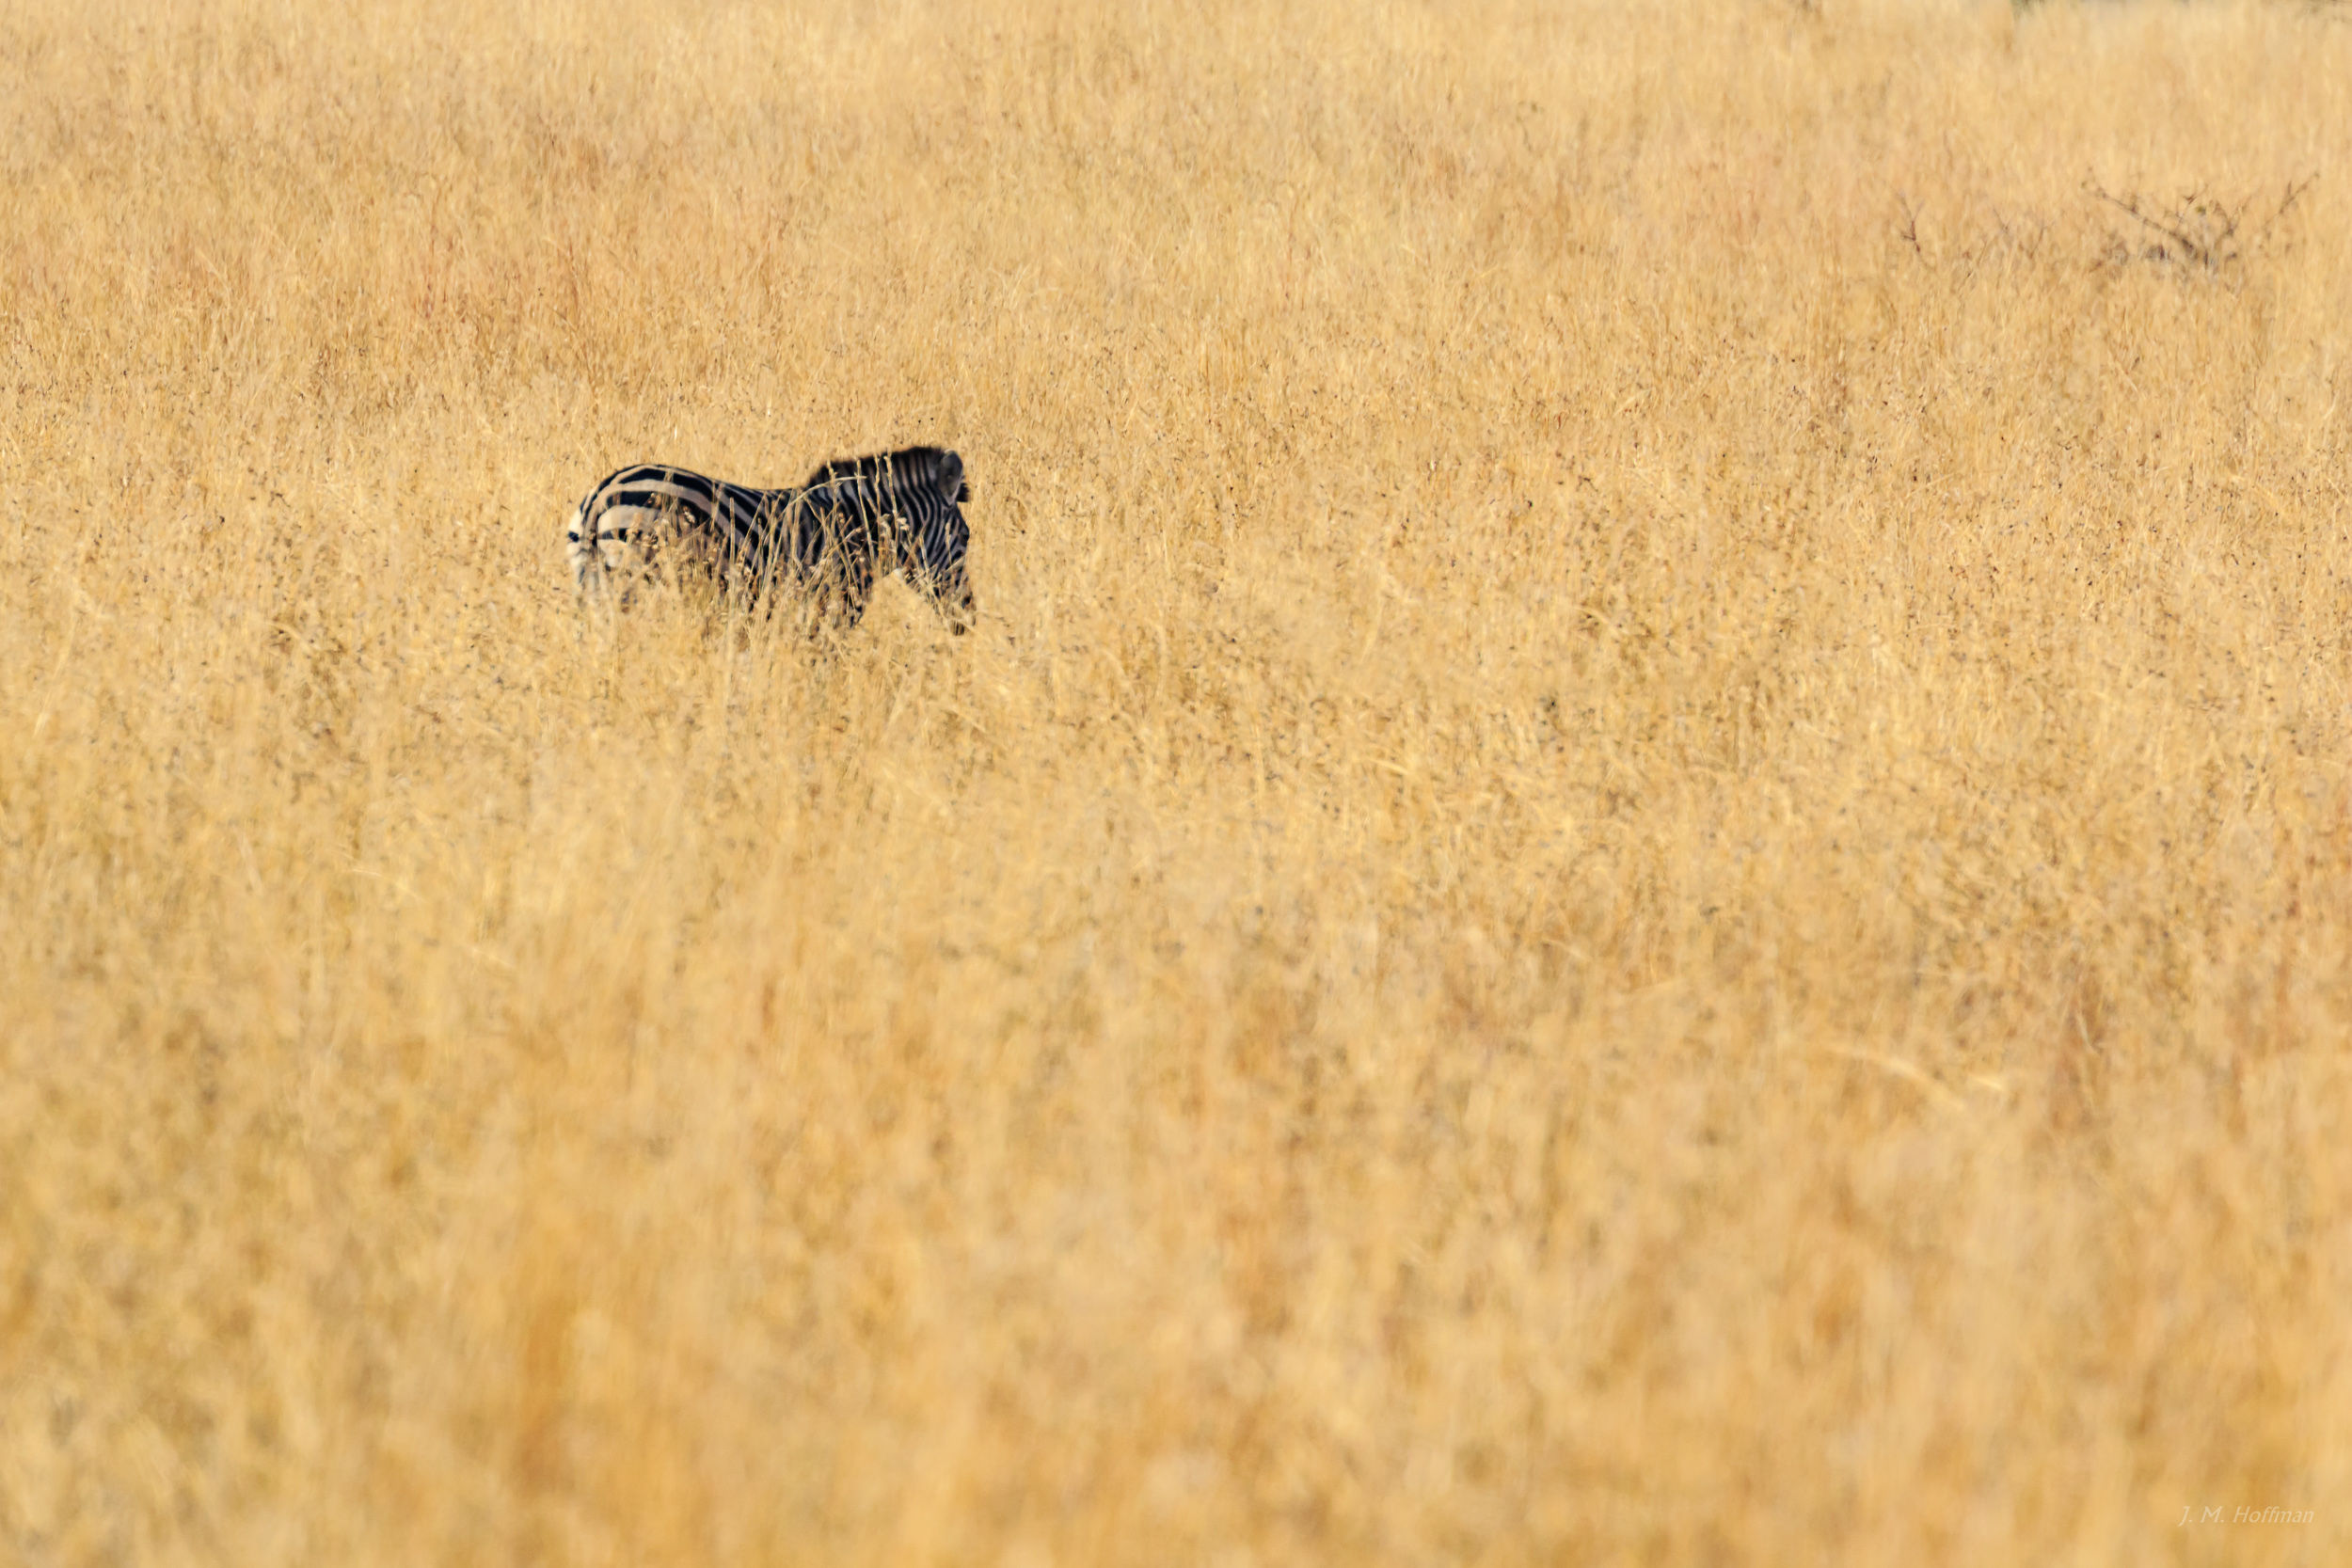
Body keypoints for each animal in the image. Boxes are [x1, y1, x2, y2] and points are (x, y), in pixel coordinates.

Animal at [566, 445, 974, 634]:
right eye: (967, 538)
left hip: (597, 586)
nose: (967, 620)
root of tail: (602, 493)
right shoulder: (836, 607)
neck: (859, 528)